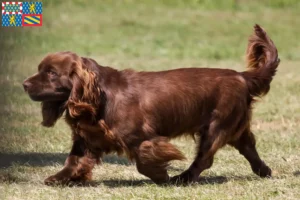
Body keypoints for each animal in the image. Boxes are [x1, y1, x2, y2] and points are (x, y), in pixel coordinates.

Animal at [22, 24, 278, 184]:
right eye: (40, 69)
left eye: (51, 73)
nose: (24, 84)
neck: (99, 98)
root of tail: (242, 76)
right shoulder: (87, 139)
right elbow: (73, 160)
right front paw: (61, 178)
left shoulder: (141, 136)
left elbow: (144, 159)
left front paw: (161, 176)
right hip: (233, 126)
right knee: (248, 147)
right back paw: (264, 171)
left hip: (217, 126)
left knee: (205, 158)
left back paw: (183, 178)